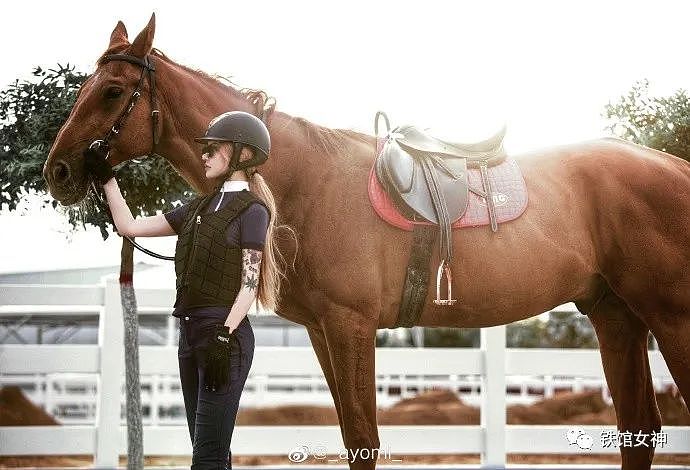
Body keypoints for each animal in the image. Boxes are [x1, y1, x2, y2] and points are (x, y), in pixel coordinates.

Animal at [43, 14, 688, 470]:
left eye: (113, 90)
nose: (59, 172)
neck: (303, 178)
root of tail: (673, 167)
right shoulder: (324, 332)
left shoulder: (351, 325)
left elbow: (364, 440)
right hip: (615, 316)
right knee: (637, 432)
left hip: (670, 319)